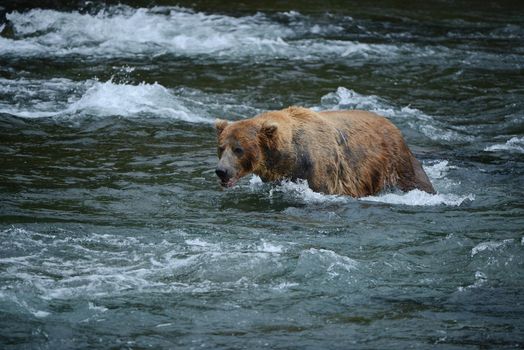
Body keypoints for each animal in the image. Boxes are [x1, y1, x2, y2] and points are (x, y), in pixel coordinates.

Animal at [213, 106, 434, 197]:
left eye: (239, 149)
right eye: (221, 148)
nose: (221, 171)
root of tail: (394, 127)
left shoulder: (322, 170)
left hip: (396, 163)